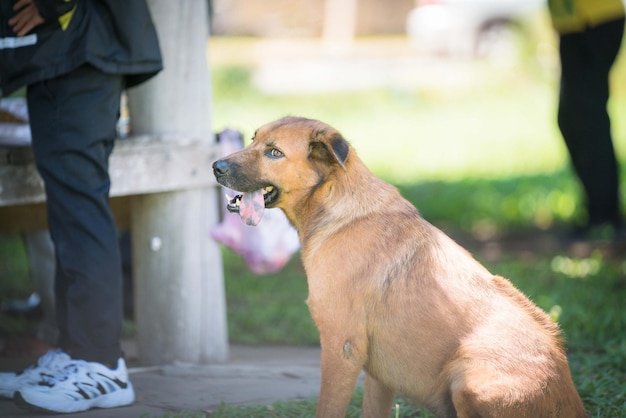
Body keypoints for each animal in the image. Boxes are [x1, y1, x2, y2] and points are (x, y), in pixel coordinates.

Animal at [211, 116, 584, 416]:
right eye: (253, 139)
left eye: (274, 153)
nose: (216, 166)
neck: (335, 205)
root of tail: (572, 402)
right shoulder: (377, 372)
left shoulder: (341, 347)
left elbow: (328, 408)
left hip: (468, 378)